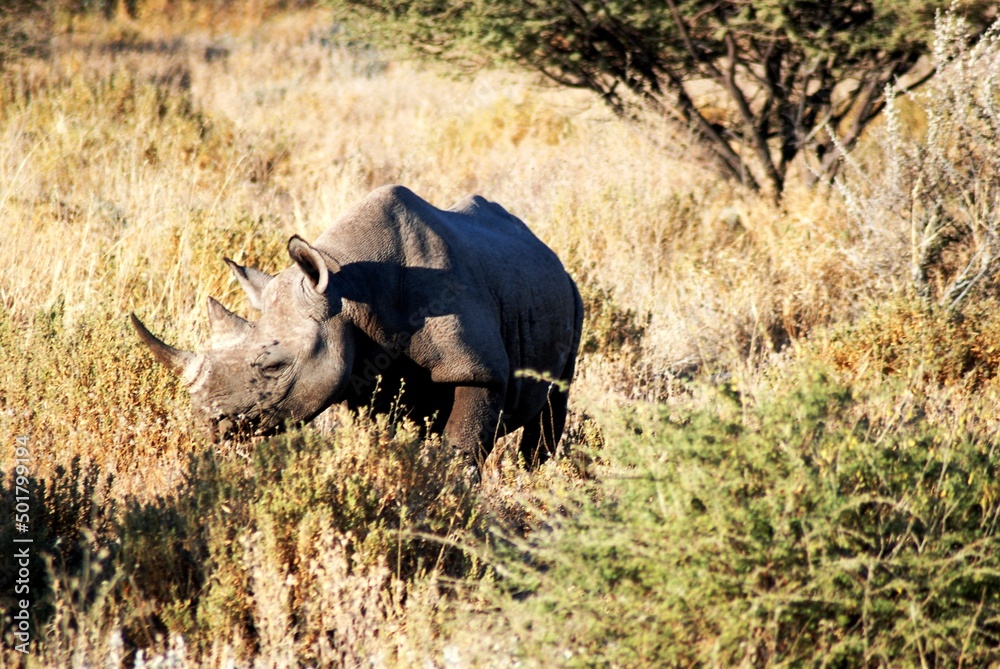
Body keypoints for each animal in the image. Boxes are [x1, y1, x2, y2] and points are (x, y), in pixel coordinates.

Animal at [131, 185, 583, 472]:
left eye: (274, 366)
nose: (210, 421)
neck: (349, 289)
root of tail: (546, 250)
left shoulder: (478, 370)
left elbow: (462, 449)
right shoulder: (363, 370)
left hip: (572, 295)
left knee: (554, 401)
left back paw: (534, 479)